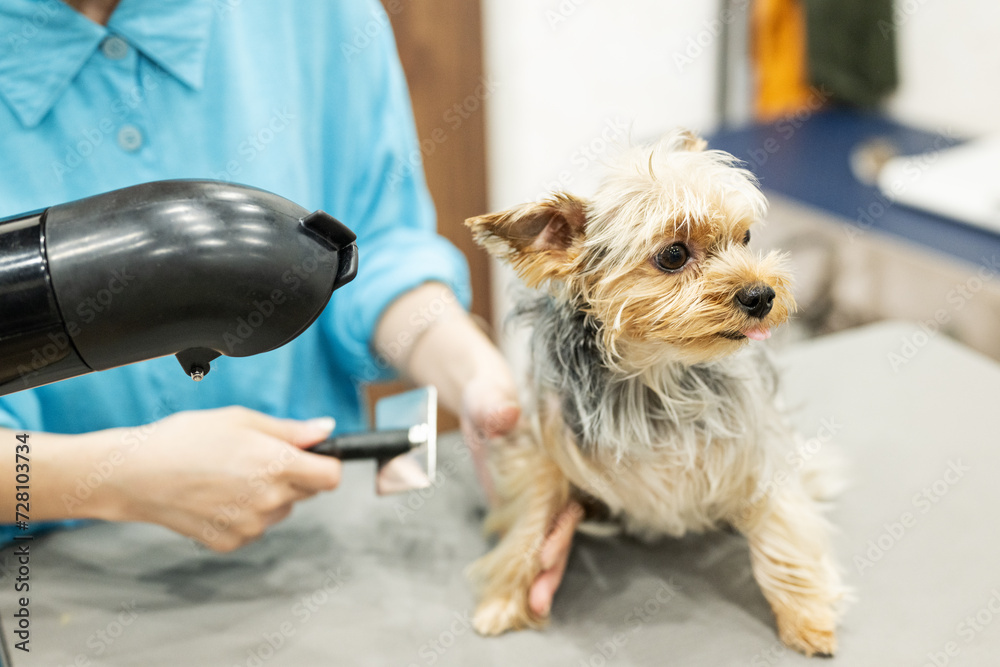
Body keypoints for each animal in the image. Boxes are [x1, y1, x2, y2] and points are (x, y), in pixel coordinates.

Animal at [466, 130, 844, 656]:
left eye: (746, 238)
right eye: (673, 255)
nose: (762, 295)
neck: (655, 373)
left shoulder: (755, 447)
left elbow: (781, 531)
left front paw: (806, 617)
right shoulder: (546, 442)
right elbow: (531, 516)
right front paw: (503, 599)